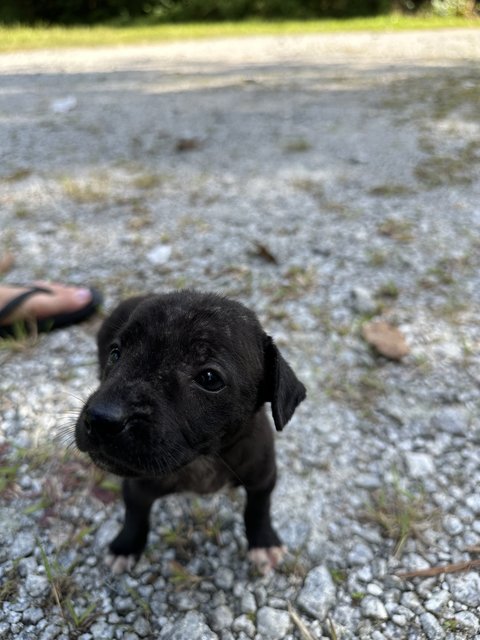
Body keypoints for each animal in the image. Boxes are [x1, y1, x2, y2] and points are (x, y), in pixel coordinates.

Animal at [76, 290, 308, 576]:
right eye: (116, 354)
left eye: (209, 378)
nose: (101, 419)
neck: (202, 459)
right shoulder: (137, 485)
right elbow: (135, 514)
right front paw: (126, 546)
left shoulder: (263, 476)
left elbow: (258, 508)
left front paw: (263, 542)